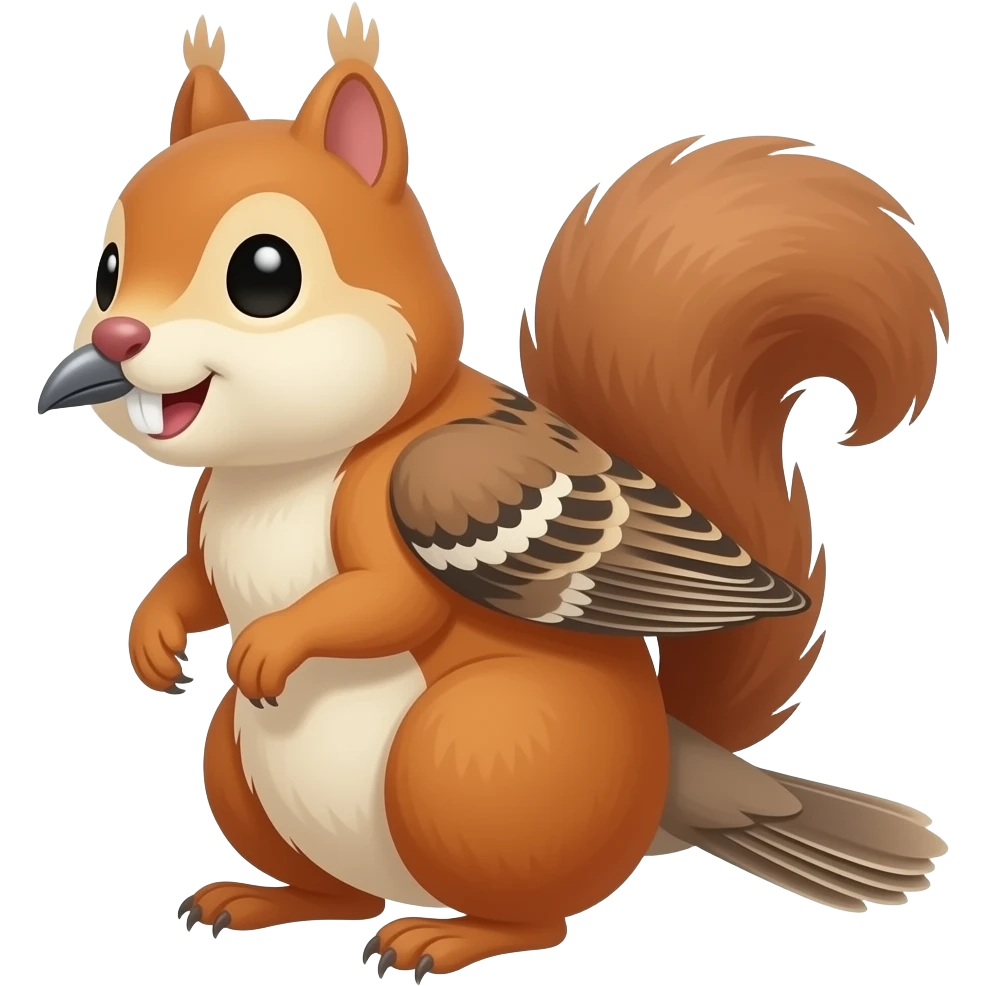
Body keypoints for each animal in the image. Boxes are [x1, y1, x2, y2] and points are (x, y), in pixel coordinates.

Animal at [38, 9, 949, 979]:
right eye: (107, 269)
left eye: (266, 274)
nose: (113, 343)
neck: (285, 467)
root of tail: (682, 781)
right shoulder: (208, 518)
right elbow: (200, 583)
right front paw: (153, 635)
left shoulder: (400, 516)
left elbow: (383, 602)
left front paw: (272, 643)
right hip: (239, 767)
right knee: (343, 895)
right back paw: (265, 898)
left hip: (470, 756)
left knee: (538, 918)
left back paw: (448, 933)